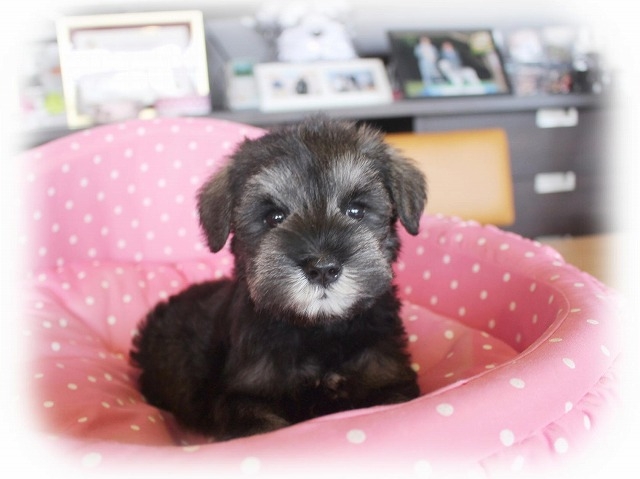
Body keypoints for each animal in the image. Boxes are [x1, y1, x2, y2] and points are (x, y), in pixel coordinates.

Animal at [130, 117, 427, 440]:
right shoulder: (243, 398)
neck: (317, 330)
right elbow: (265, 427)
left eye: (356, 209)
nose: (322, 268)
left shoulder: (388, 379)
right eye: (274, 217)